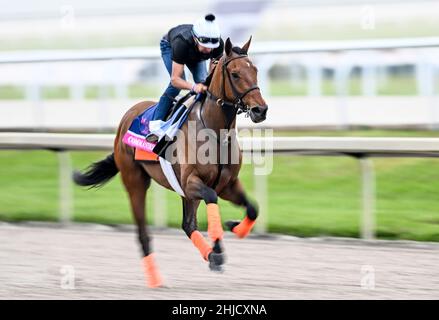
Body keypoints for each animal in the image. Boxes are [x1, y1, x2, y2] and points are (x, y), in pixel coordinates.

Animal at [73, 37, 268, 288]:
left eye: (255, 70)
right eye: (235, 74)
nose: (260, 109)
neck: (215, 132)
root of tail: (127, 117)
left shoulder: (227, 184)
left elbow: (253, 208)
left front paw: (233, 227)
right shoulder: (191, 182)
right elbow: (211, 198)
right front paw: (218, 248)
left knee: (188, 225)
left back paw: (208, 255)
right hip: (135, 182)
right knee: (143, 234)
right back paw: (156, 279)